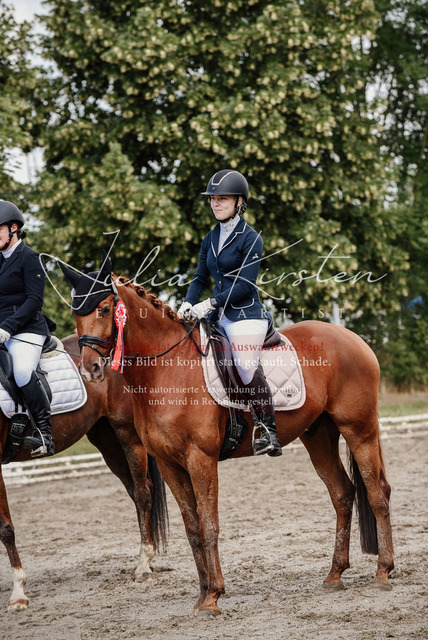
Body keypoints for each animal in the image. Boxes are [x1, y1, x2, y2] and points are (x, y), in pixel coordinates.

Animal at [0, 334, 169, 612]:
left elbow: (5, 528)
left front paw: (18, 593)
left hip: (127, 433)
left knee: (143, 492)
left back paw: (144, 565)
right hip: (106, 437)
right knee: (135, 491)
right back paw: (148, 556)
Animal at [64, 261, 394, 616]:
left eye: (105, 308)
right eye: (75, 313)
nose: (90, 370)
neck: (167, 369)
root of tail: (352, 338)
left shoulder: (200, 459)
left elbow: (210, 525)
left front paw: (213, 596)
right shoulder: (169, 465)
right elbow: (193, 529)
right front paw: (202, 594)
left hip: (358, 428)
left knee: (377, 493)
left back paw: (383, 573)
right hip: (319, 435)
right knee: (343, 494)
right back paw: (335, 574)